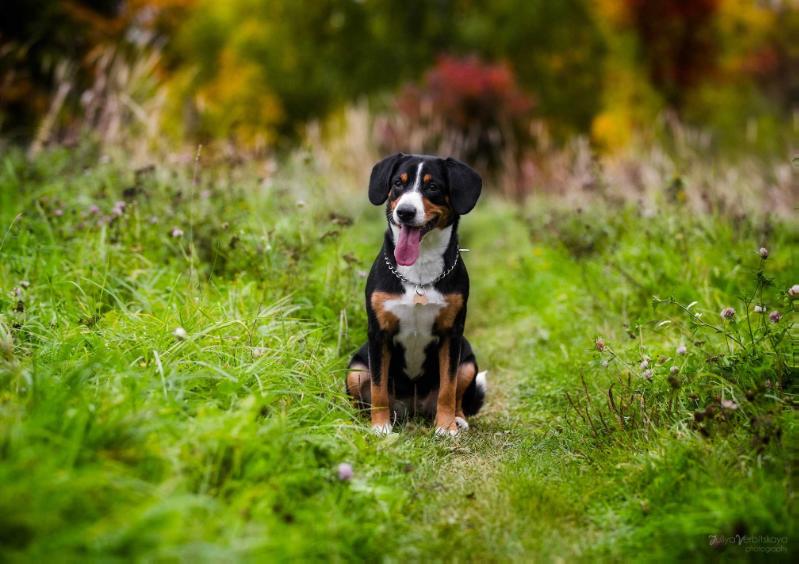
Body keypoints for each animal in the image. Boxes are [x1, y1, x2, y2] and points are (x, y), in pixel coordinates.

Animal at [348, 153, 488, 436]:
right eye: (398, 184)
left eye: (432, 187)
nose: (405, 212)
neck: (420, 270)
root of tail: (412, 408)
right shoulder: (378, 333)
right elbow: (378, 388)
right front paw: (380, 427)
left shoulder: (451, 334)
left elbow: (448, 387)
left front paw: (446, 427)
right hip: (355, 369)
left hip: (468, 360)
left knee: (457, 395)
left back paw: (458, 419)